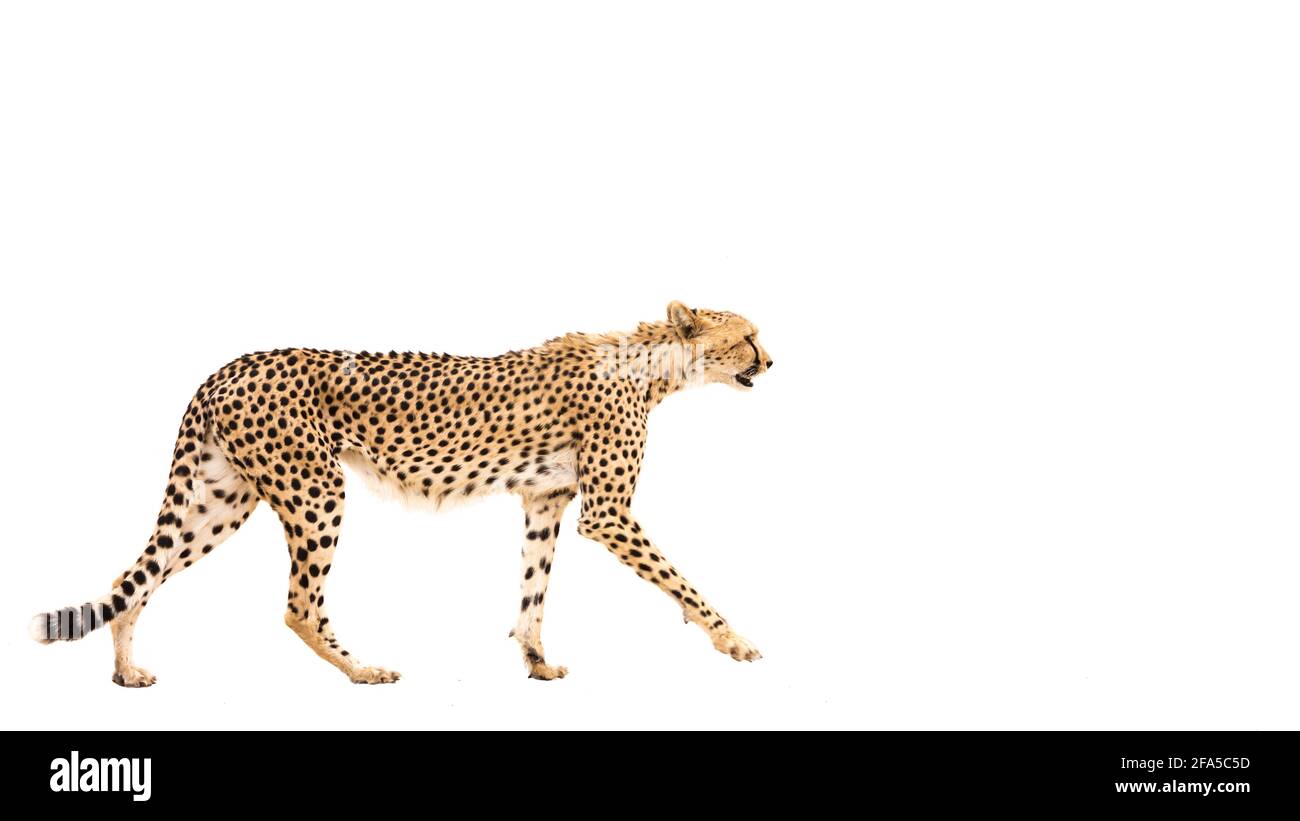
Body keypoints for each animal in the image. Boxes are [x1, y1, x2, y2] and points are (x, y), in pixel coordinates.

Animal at [29, 301, 773, 685]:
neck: (653, 366)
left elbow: (532, 591)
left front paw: (535, 662)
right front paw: (734, 640)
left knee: (133, 576)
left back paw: (126, 671)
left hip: (222, 499)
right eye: (748, 336)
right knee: (299, 606)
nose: (771, 360)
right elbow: (682, 582)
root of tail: (229, 366)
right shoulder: (608, 515)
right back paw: (362, 670)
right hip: (316, 488)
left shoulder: (546, 502)